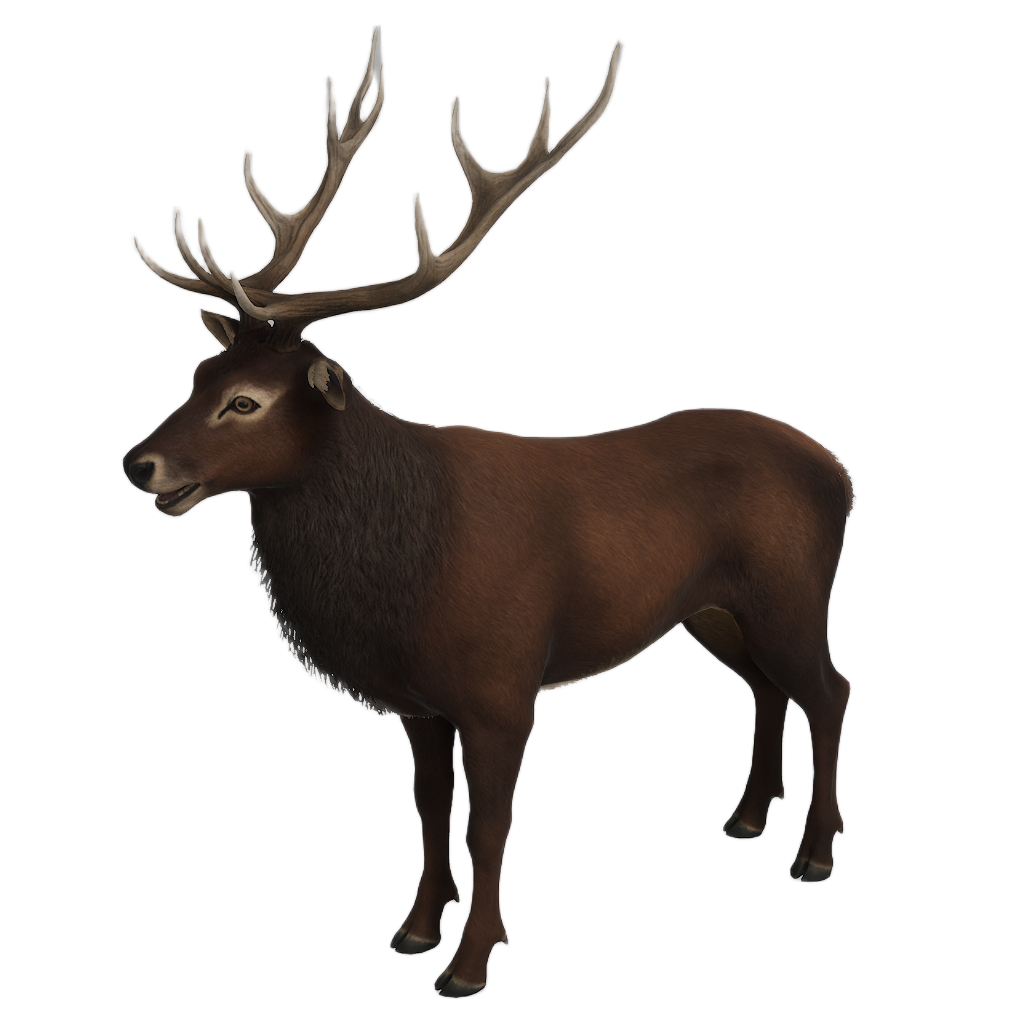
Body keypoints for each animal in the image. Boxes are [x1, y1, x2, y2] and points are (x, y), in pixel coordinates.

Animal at [122, 24, 855, 998]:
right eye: (198, 374)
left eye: (246, 401)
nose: (138, 462)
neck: (401, 570)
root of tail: (842, 472)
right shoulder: (417, 700)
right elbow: (429, 808)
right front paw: (413, 929)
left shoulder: (503, 684)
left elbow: (489, 821)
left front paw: (471, 961)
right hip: (709, 608)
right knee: (767, 686)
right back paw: (743, 818)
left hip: (791, 590)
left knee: (829, 688)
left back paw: (814, 853)